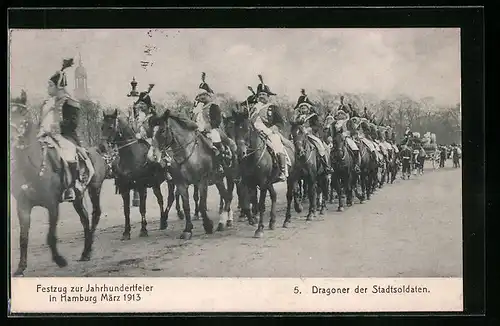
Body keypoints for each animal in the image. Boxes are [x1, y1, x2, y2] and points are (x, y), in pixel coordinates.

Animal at [9, 91, 106, 276]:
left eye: (23, 114)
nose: (12, 137)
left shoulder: (52, 205)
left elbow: (50, 235)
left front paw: (59, 260)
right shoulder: (23, 206)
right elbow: (23, 238)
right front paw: (20, 267)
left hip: (94, 189)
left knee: (95, 214)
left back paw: (88, 249)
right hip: (78, 197)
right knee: (84, 219)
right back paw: (85, 252)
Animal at [100, 109, 167, 239]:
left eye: (110, 127)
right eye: (102, 127)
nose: (101, 147)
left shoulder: (141, 187)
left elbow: (142, 208)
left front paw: (143, 230)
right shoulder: (124, 189)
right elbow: (126, 211)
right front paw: (126, 232)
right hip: (156, 185)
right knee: (160, 200)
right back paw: (163, 222)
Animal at [149, 109, 235, 239]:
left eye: (162, 130)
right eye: (151, 131)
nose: (152, 156)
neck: (189, 154)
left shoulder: (202, 182)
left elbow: (202, 205)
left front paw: (208, 225)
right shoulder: (181, 184)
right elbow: (186, 206)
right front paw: (187, 230)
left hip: (229, 177)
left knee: (228, 196)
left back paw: (225, 221)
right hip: (218, 179)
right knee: (226, 197)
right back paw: (223, 222)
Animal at [231, 107, 300, 237]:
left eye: (247, 129)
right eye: (235, 129)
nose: (240, 153)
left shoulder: (262, 184)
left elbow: (261, 205)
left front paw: (259, 229)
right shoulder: (250, 183)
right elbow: (250, 202)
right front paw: (254, 220)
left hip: (290, 178)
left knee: (289, 196)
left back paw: (287, 220)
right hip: (269, 182)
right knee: (274, 195)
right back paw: (272, 221)